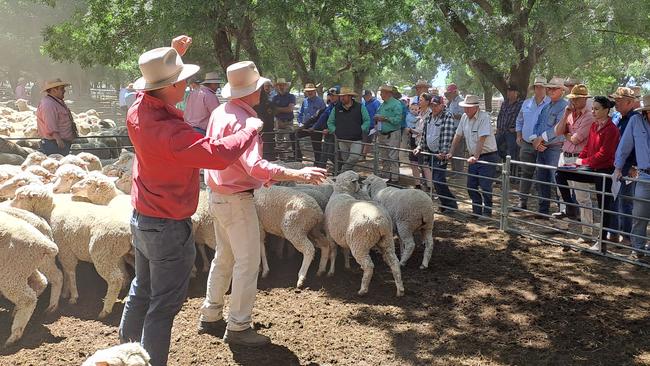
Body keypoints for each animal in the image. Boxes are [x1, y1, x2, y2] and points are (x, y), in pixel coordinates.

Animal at [0, 209, 62, 346]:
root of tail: (44, 243)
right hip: (29, 266)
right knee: (47, 280)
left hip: (11, 273)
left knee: (29, 298)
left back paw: (13, 336)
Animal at [11, 184, 132, 318]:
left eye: (21, 197)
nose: (10, 205)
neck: (51, 210)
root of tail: (128, 232)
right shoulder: (64, 251)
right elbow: (66, 271)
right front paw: (65, 292)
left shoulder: (65, 249)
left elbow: (70, 271)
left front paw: (73, 296)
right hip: (120, 254)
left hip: (102, 252)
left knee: (115, 279)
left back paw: (106, 309)